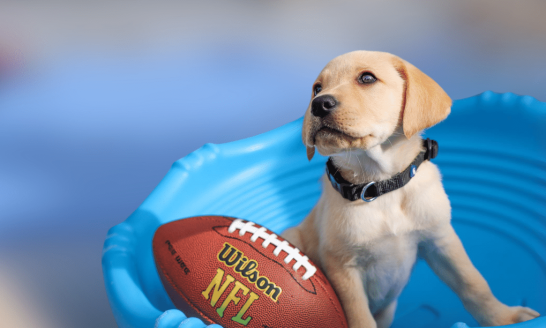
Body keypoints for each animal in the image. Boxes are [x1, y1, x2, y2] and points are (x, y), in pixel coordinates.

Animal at [282, 51, 536, 328]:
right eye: (317, 89)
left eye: (367, 78)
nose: (319, 104)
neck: (380, 187)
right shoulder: (342, 266)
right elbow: (359, 316)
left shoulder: (440, 241)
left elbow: (474, 284)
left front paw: (505, 317)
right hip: (292, 235)